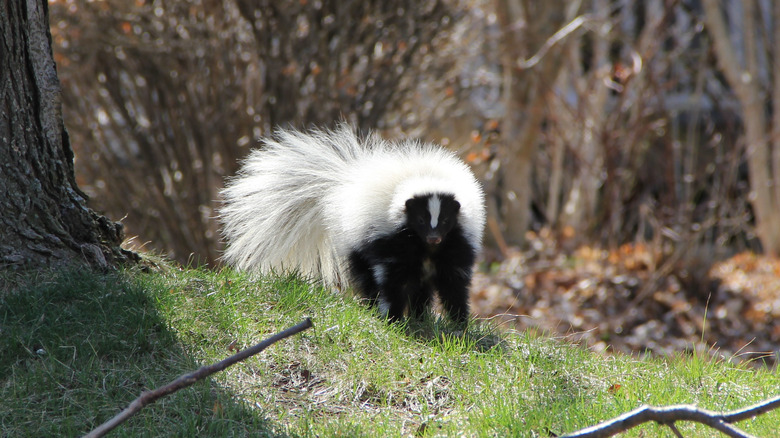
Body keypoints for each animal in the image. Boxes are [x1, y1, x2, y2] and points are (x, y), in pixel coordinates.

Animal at [219, 125, 484, 324]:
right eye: (419, 220)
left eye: (446, 220)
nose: (434, 237)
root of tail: (345, 185)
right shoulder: (390, 242)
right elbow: (393, 280)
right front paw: (392, 317)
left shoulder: (456, 245)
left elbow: (454, 284)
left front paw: (459, 324)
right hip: (356, 244)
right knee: (368, 277)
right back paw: (379, 307)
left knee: (420, 288)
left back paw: (420, 317)